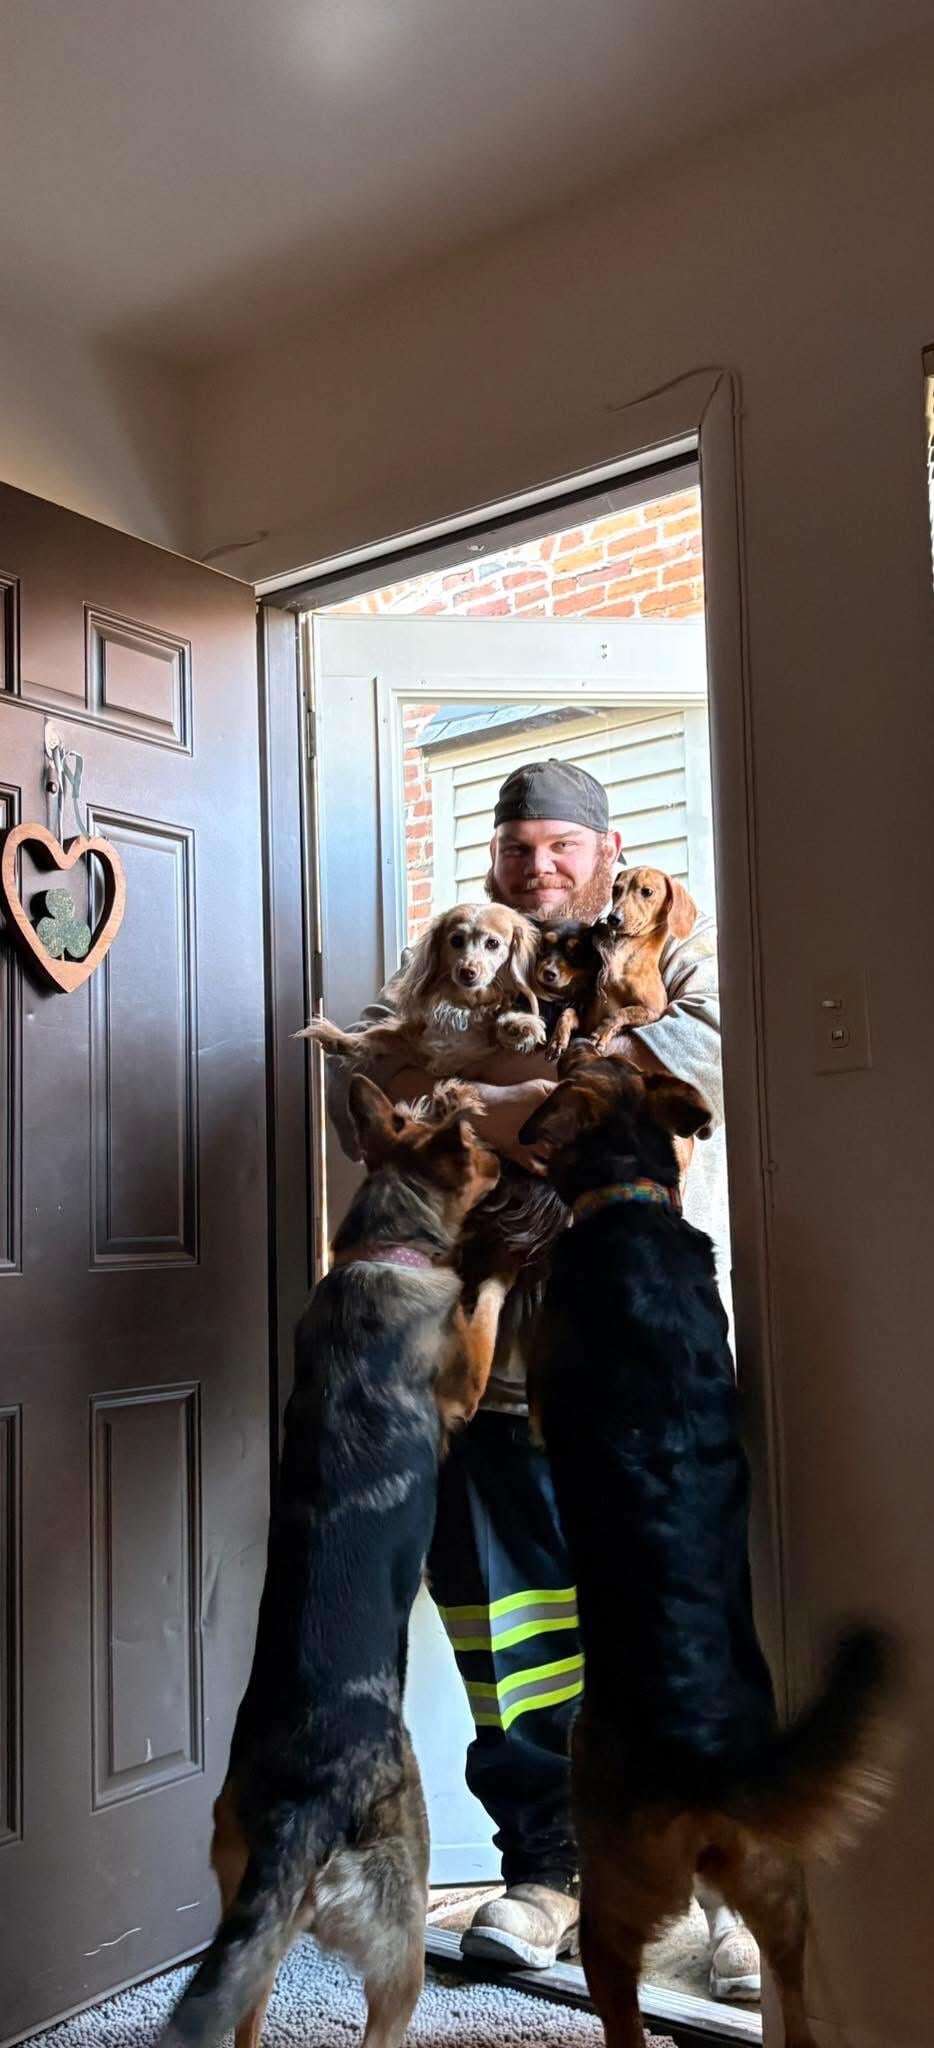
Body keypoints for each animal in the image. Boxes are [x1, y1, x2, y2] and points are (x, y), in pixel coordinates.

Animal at [160, 1077, 511, 2048]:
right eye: (479, 1148)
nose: (512, 1160)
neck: (383, 1247)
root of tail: (301, 1808)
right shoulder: (465, 1380)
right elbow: (484, 1304)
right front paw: (501, 1267)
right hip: (400, 1939)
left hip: (248, 1914)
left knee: (240, 2015)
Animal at [299, 903, 545, 1077]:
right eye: (456, 940)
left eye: (492, 943)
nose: (467, 972)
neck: (463, 1003)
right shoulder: (417, 1045)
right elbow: (377, 1034)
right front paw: (340, 1039)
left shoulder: (473, 1057)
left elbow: (493, 1033)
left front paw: (516, 1026)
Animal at [520, 1047, 900, 2048]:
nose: (571, 1041)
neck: (629, 1198)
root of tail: (704, 1759)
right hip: (777, 1883)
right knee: (795, 2010)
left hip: (615, 1889)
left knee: (620, 2003)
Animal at [584, 867, 698, 1054]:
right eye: (616, 889)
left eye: (647, 891)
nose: (613, 918)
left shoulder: (654, 1011)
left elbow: (620, 1013)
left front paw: (602, 1033)